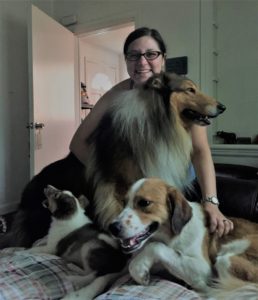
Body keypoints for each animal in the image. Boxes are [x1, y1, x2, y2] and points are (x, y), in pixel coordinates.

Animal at [109, 178, 258, 298]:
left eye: (144, 202)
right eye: (124, 202)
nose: (112, 228)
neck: (172, 235)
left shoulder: (203, 268)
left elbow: (155, 247)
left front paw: (138, 269)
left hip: (226, 260)